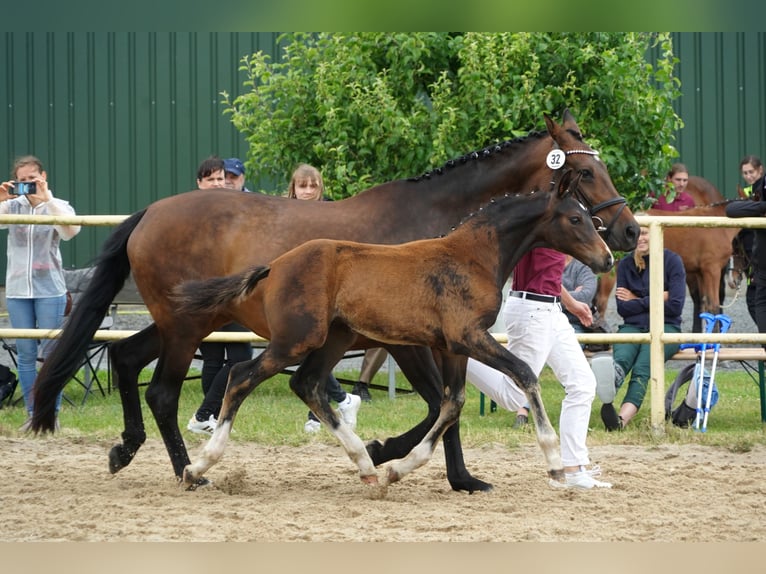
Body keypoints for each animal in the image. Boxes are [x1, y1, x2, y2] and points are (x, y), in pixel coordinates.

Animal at [177, 188, 616, 490]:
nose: (608, 258)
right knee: (242, 376)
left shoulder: (452, 347)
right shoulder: (469, 337)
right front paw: (554, 462)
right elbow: (525, 373)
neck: (473, 256)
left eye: (588, 219)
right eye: (574, 219)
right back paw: (198, 466)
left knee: (306, 384)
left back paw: (366, 465)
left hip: (333, 340)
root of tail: (276, 265)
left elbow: (452, 402)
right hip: (296, 341)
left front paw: (398, 469)